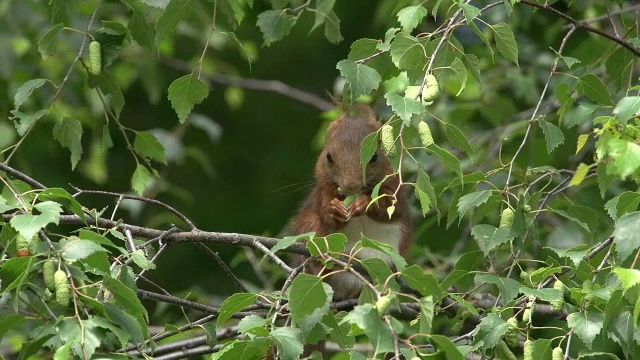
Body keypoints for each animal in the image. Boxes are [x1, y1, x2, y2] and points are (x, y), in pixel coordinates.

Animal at [292, 105, 412, 300]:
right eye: (328, 156)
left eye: (375, 156)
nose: (351, 185)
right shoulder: (323, 192)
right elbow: (326, 213)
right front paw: (334, 210)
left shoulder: (396, 189)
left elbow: (391, 209)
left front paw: (364, 203)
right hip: (310, 227)